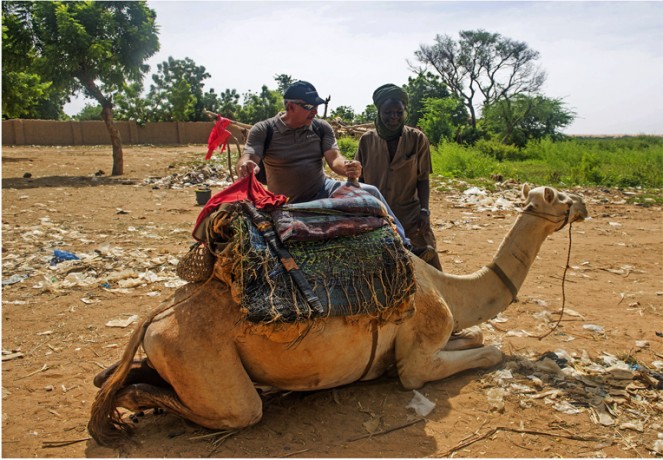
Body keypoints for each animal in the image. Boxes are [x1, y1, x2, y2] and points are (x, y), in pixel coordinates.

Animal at [87, 183, 588, 446]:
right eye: (557, 197)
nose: (582, 205)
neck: (446, 286)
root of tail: (155, 318)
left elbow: (479, 338)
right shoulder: (418, 357)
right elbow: (489, 351)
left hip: (170, 350)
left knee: (126, 373)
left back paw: (112, 383)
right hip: (202, 361)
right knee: (238, 409)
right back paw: (129, 407)